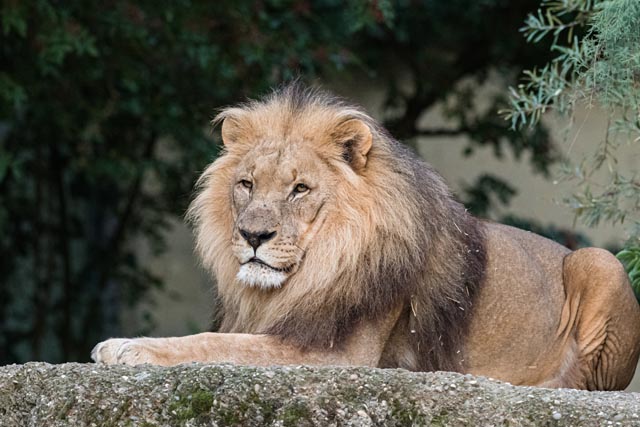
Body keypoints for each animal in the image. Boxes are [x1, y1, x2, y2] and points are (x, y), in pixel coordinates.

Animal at [93, 83, 640, 390]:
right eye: (246, 184)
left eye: (300, 189)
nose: (252, 235)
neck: (314, 267)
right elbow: (223, 339)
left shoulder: (338, 355)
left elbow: (213, 344)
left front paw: (127, 346)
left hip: (602, 261)